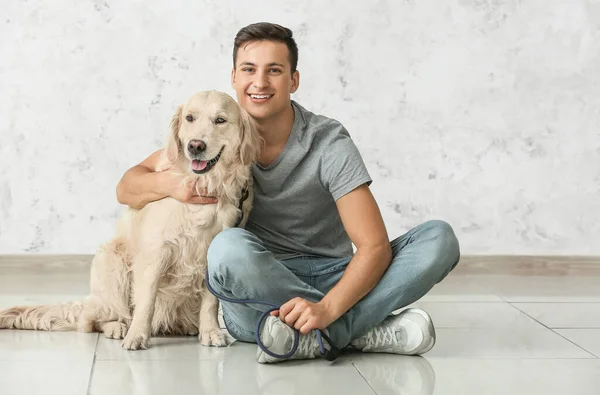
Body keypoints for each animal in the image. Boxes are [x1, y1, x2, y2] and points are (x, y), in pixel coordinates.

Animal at [0, 91, 260, 352]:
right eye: (189, 118)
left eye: (220, 120)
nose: (195, 146)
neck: (206, 184)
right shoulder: (156, 251)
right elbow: (147, 300)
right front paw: (137, 336)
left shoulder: (209, 252)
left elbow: (210, 301)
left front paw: (211, 332)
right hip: (112, 260)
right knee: (93, 320)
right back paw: (117, 327)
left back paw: (188, 326)